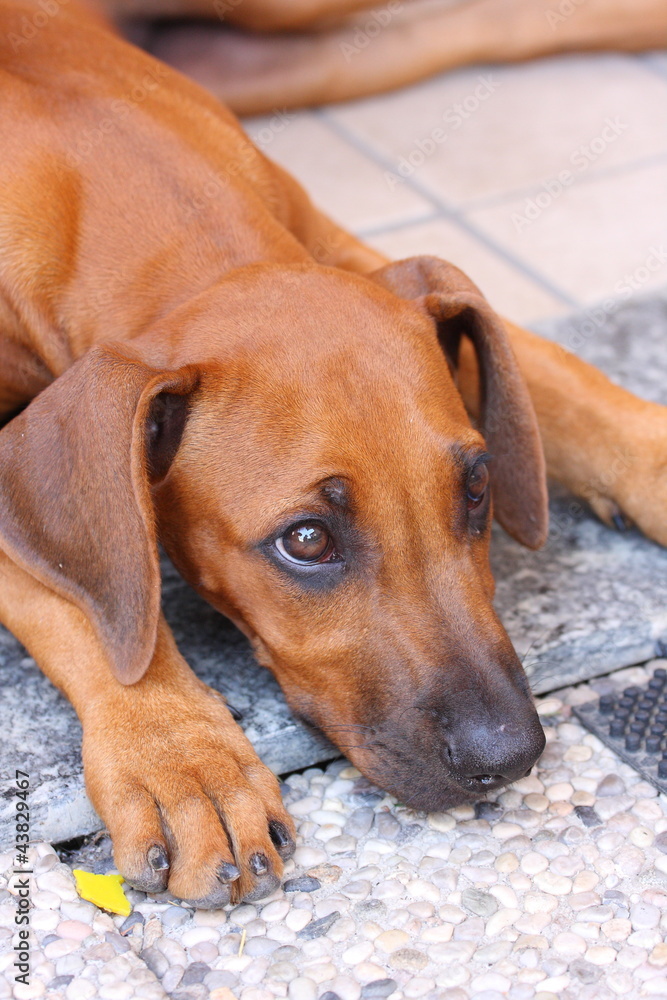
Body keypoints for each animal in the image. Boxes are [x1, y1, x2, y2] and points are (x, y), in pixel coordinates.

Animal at [0, 0, 664, 908]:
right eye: (306, 540)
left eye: (478, 489)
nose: (509, 757)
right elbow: (67, 597)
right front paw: (180, 756)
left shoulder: (347, 252)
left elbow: (554, 373)